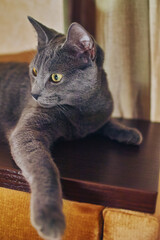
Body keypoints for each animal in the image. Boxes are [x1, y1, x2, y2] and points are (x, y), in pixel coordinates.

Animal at [0, 17, 142, 240]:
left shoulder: (98, 114)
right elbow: (45, 167)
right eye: (34, 72)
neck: (80, 111)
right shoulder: (27, 130)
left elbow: (106, 122)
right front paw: (49, 216)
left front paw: (129, 132)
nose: (34, 94)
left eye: (56, 77)